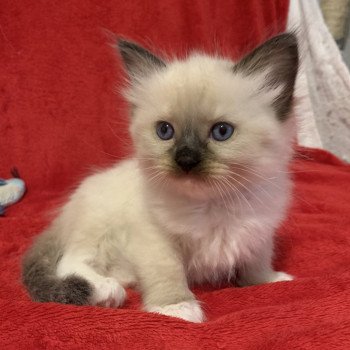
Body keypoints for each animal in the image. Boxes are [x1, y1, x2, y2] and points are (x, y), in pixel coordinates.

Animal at [23, 33, 300, 322]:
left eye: (222, 131)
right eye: (165, 131)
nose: (186, 159)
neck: (211, 204)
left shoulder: (259, 231)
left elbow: (257, 262)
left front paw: (270, 281)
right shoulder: (154, 236)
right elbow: (167, 271)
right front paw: (176, 308)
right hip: (96, 225)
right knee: (70, 261)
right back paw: (106, 292)